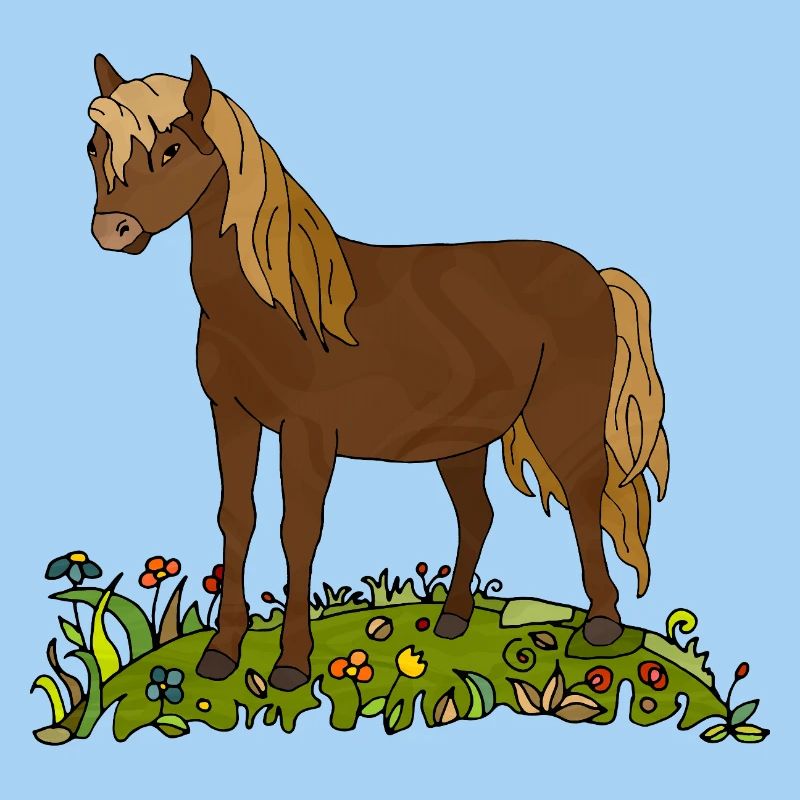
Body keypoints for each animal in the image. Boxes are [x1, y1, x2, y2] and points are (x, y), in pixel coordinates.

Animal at [87, 55, 669, 691]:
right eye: (94, 146)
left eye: (171, 149)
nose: (111, 230)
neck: (278, 307)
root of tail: (594, 275)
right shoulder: (231, 416)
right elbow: (237, 519)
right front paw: (221, 653)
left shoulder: (308, 434)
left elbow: (299, 531)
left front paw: (292, 664)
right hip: (462, 439)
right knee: (478, 515)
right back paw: (453, 621)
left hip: (560, 415)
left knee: (584, 497)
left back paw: (602, 626)